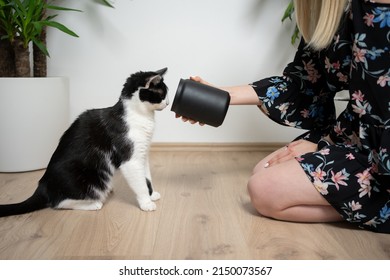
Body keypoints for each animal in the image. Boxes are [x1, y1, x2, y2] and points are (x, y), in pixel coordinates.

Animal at [0, 67, 169, 217]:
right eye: (162, 93)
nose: (167, 103)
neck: (140, 115)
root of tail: (43, 185)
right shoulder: (130, 158)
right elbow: (140, 183)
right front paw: (146, 203)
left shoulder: (142, 153)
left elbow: (146, 177)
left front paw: (152, 195)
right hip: (91, 179)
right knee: (58, 202)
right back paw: (93, 204)